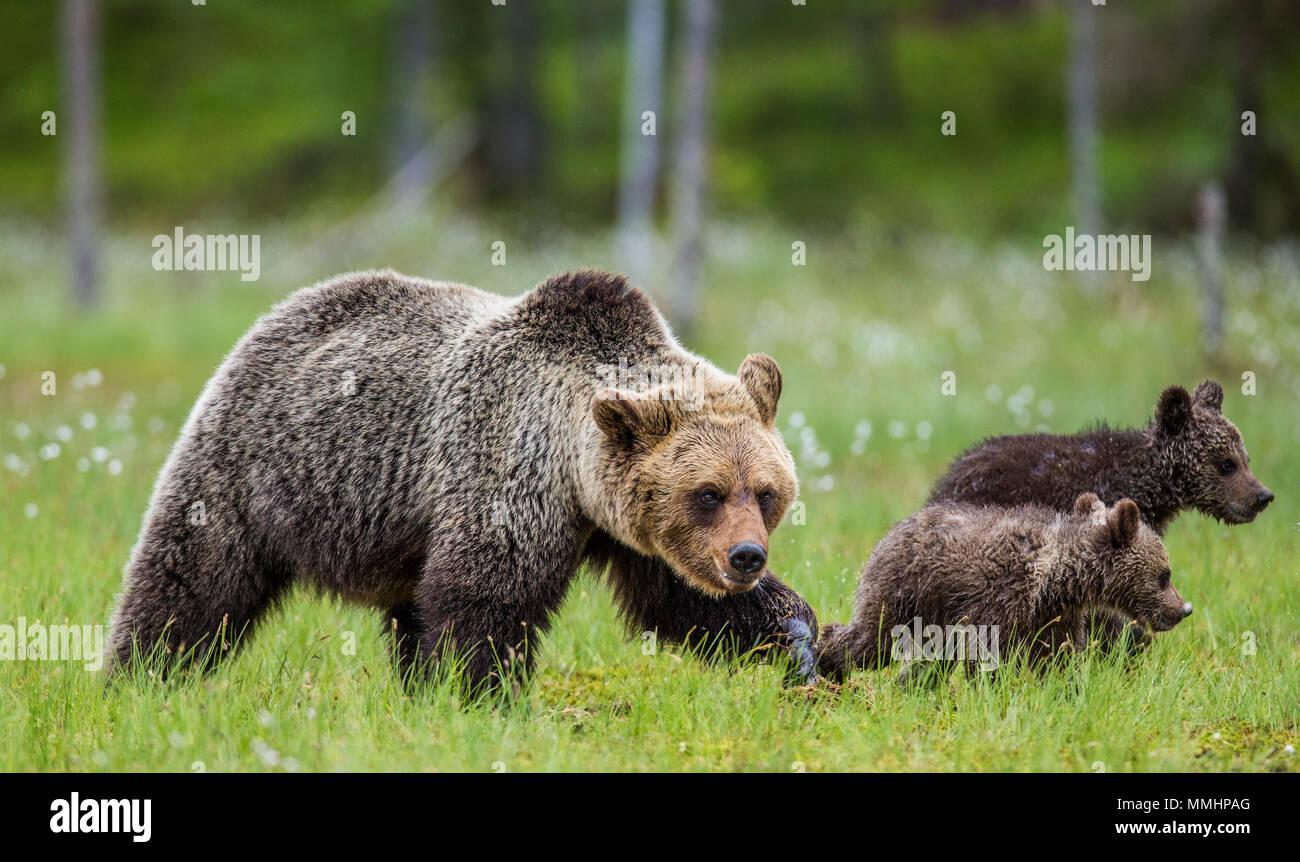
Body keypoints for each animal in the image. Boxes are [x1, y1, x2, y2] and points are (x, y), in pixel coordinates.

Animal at [108, 268, 819, 694]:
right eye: (708, 493)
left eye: (765, 492)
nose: (747, 555)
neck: (574, 470)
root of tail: (281, 309)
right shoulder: (509, 473)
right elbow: (484, 599)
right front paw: (478, 696)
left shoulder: (629, 526)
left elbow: (680, 600)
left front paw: (799, 636)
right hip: (255, 465)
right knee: (195, 576)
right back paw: (140, 674)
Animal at [816, 494, 1192, 679]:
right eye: (1165, 575)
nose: (1184, 608)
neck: (1056, 581)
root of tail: (892, 529)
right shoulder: (999, 600)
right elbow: (987, 657)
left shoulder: (1055, 618)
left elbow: (1060, 659)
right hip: (902, 591)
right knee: (872, 639)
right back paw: (825, 664)